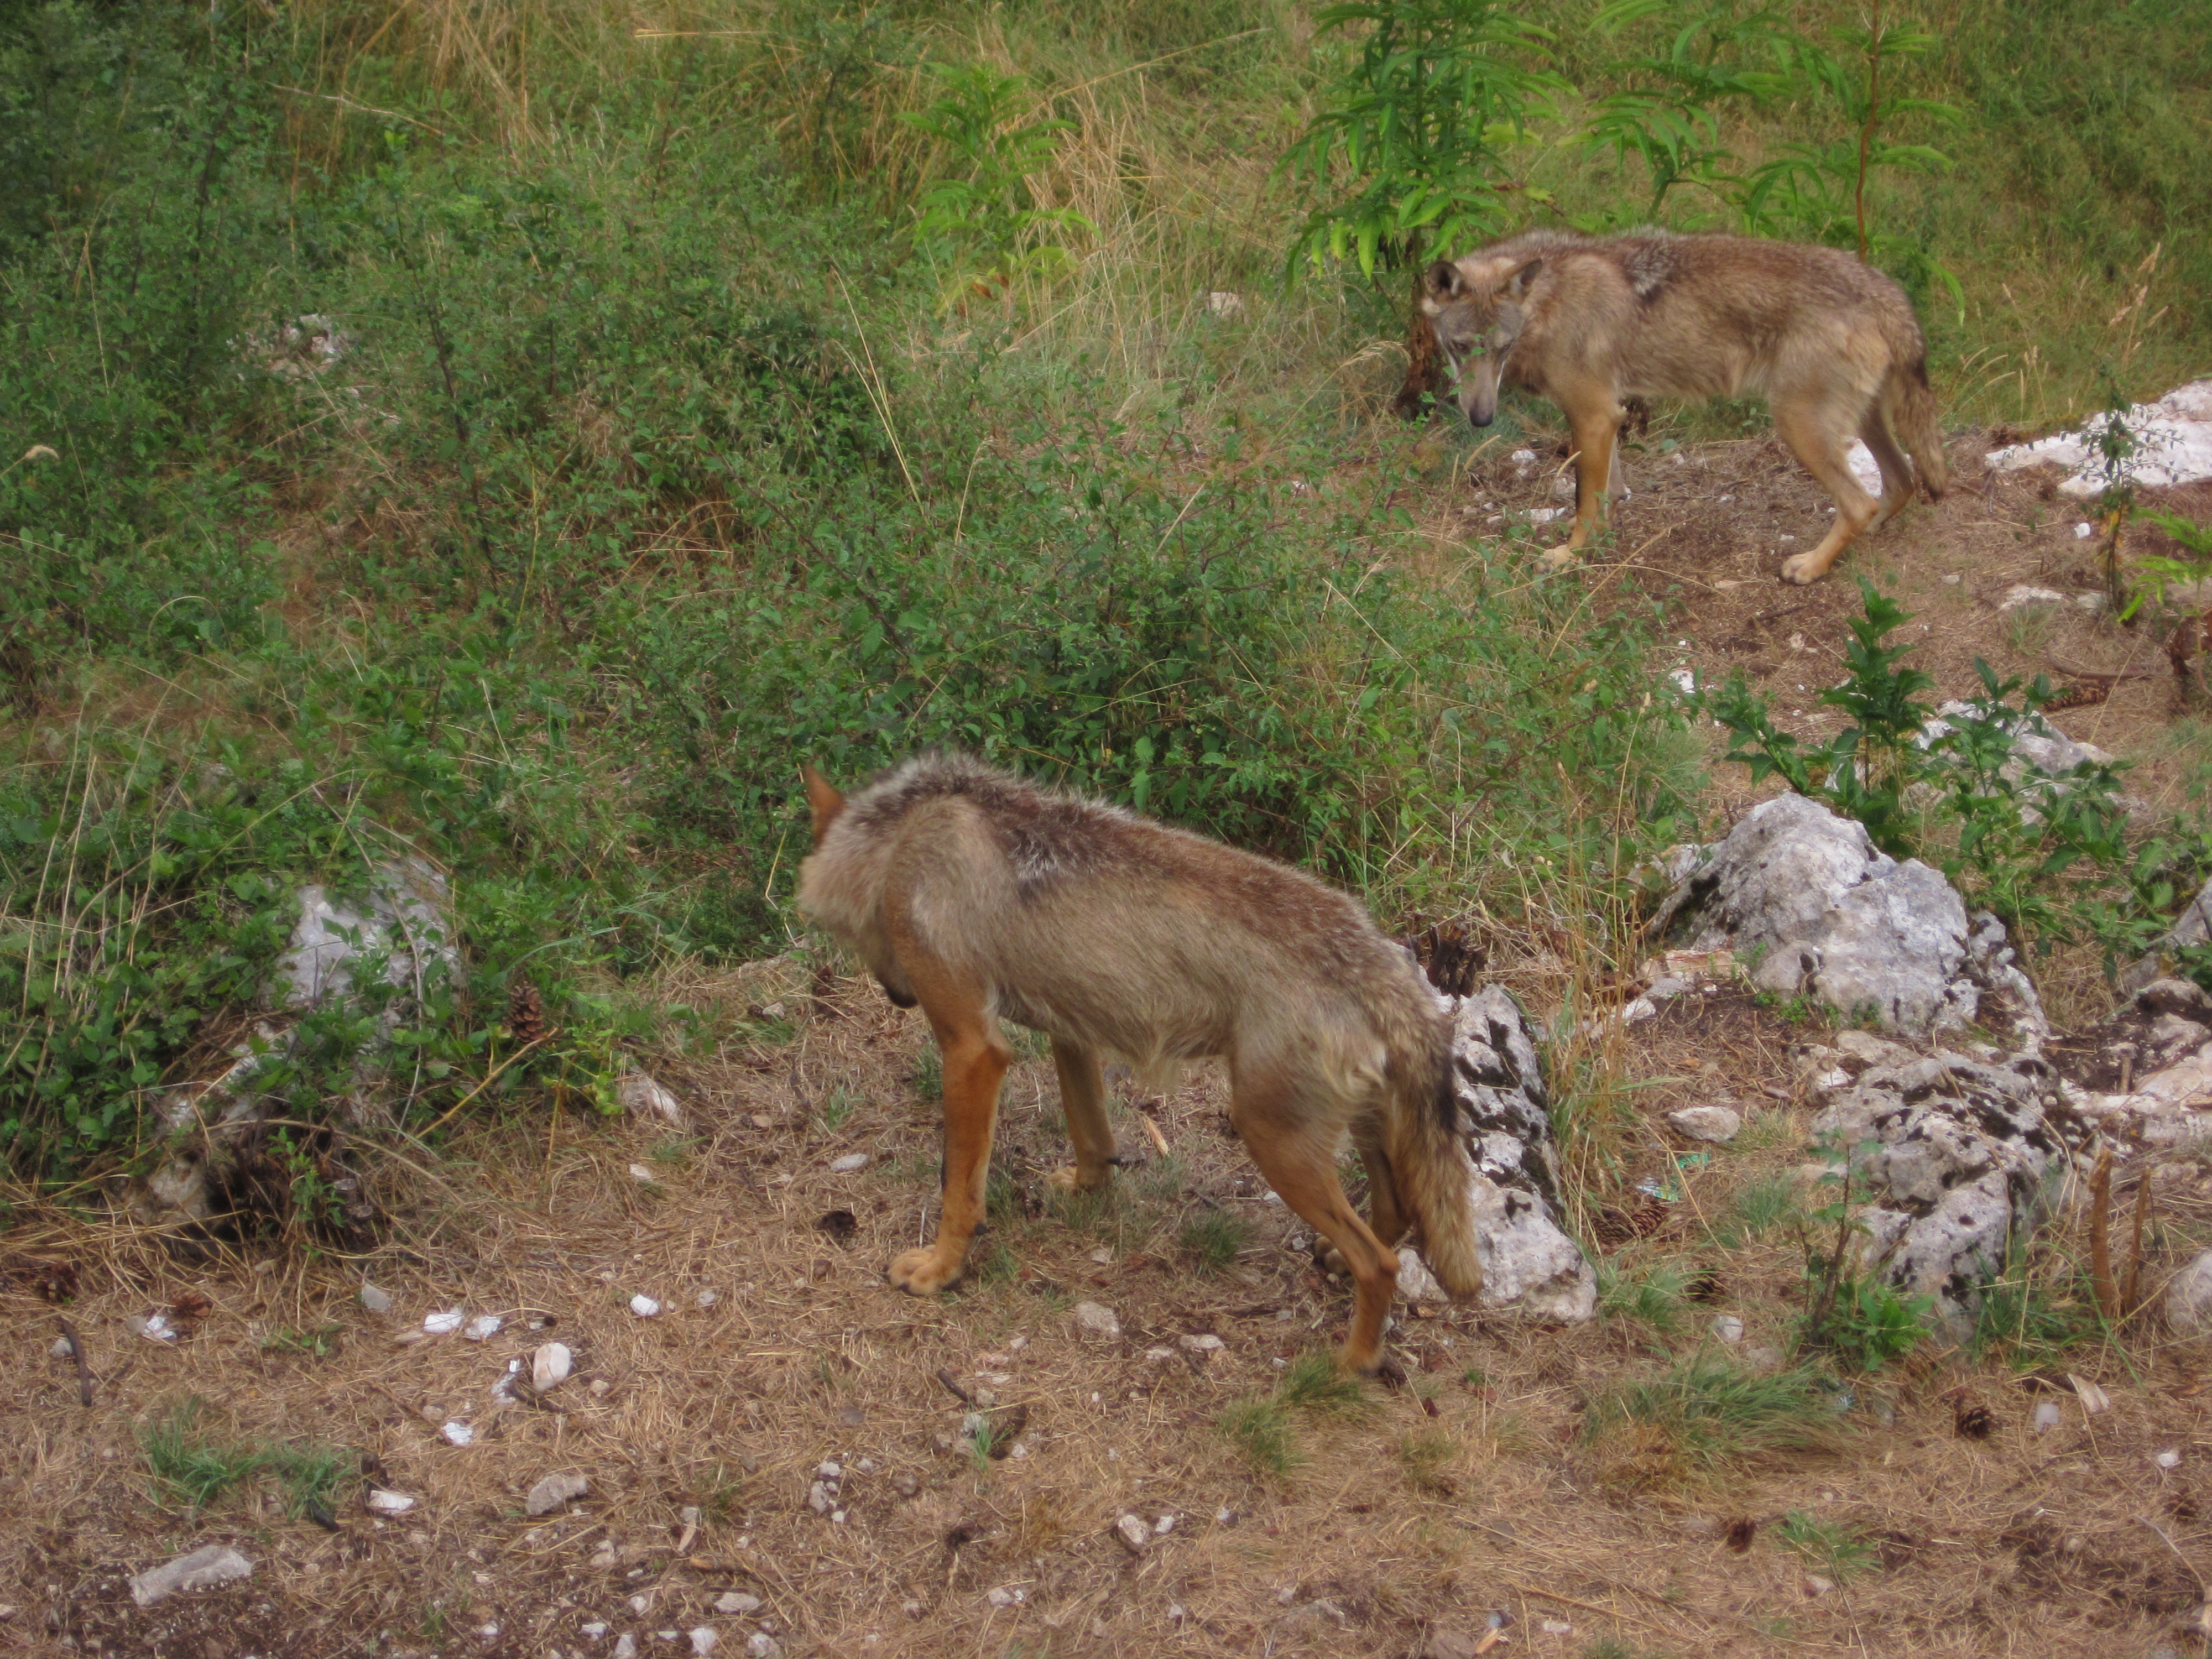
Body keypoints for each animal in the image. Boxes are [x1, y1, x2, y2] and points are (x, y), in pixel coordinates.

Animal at [787, 752, 1478, 1380]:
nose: (897, 998)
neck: (902, 839)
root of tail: (1376, 956)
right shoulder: (1069, 1028)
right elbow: (1091, 1133)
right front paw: (1083, 1188)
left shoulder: (972, 1049)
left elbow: (959, 1189)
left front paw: (939, 1270)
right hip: (1355, 1133)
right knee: (1396, 1215)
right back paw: (1337, 1271)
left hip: (1272, 1140)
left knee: (1382, 1263)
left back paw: (1352, 1363)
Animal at [1425, 228, 1947, 580]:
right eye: (1461, 347)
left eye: (1502, 349)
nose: (1481, 419)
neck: (1549, 305)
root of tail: (1885, 290)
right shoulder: (1608, 415)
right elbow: (1608, 493)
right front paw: (1598, 541)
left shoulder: (1592, 415)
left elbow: (1586, 501)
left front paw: (1569, 556)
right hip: (1862, 422)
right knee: (1901, 482)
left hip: (1798, 426)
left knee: (1859, 502)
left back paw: (1810, 566)